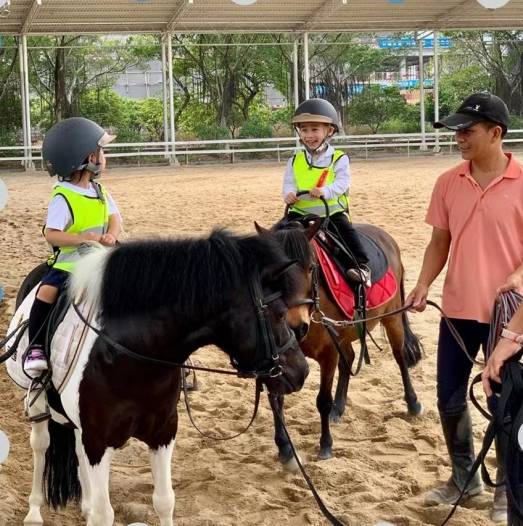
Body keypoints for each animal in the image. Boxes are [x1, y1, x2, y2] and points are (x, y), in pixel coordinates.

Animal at [264, 222, 424, 466]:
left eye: (311, 268)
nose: (296, 326)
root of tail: (387, 238)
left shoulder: (329, 352)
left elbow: (322, 400)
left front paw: (325, 445)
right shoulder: (278, 360)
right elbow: (276, 399)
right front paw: (284, 447)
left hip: (392, 317)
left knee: (400, 357)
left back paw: (413, 403)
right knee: (348, 359)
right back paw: (338, 408)